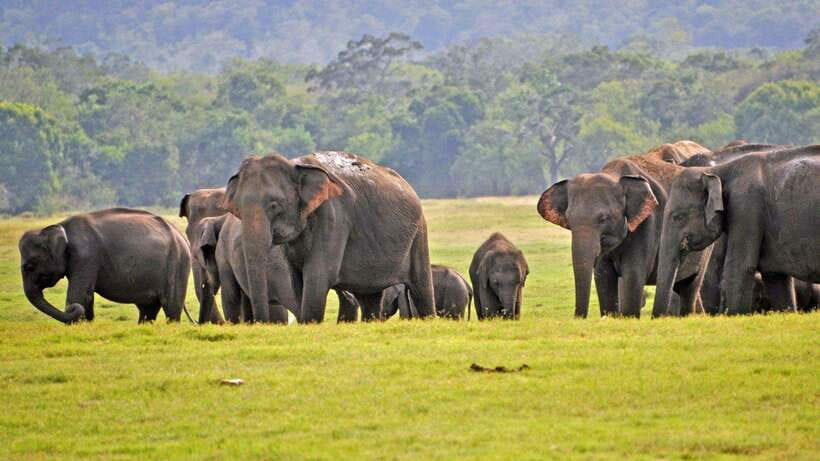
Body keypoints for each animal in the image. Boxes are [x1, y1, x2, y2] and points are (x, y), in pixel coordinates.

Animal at [18, 208, 192, 324]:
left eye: (29, 266)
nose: (72, 309)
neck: (60, 226)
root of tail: (181, 236)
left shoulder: (85, 256)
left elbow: (80, 293)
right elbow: (87, 295)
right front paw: (86, 323)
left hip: (177, 263)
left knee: (171, 307)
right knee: (148, 309)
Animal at [222, 151, 435, 323]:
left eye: (275, 205)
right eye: (237, 209)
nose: (260, 322)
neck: (295, 165)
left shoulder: (334, 216)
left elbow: (317, 275)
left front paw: (310, 324)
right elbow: (296, 280)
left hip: (419, 233)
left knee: (421, 287)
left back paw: (428, 318)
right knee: (369, 297)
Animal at [537, 141, 712, 318]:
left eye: (603, 219)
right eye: (569, 220)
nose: (579, 318)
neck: (614, 175)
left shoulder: (647, 224)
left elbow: (632, 277)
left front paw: (628, 317)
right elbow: (603, 277)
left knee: (690, 287)